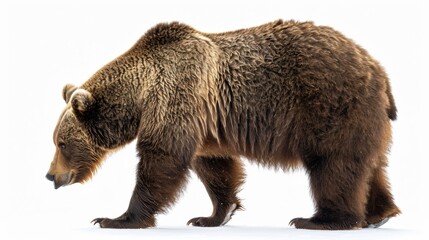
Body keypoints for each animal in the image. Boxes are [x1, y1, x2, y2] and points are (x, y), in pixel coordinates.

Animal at [46, 19, 398, 230]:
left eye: (62, 143)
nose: (50, 175)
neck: (141, 94)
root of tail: (378, 68)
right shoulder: (206, 124)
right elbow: (216, 166)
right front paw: (211, 215)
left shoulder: (177, 93)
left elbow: (162, 159)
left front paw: (116, 218)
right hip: (365, 118)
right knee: (370, 165)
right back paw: (379, 214)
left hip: (330, 105)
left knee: (333, 164)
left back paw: (320, 220)